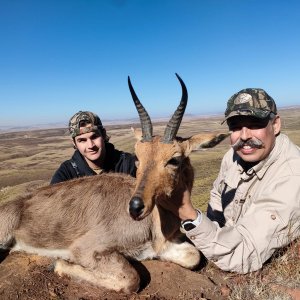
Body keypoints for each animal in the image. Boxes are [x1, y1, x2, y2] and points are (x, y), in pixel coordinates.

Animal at [0, 74, 226, 294]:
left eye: (174, 159)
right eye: (138, 157)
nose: (135, 207)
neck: (155, 222)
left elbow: (193, 256)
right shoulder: (85, 248)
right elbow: (131, 279)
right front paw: (59, 264)